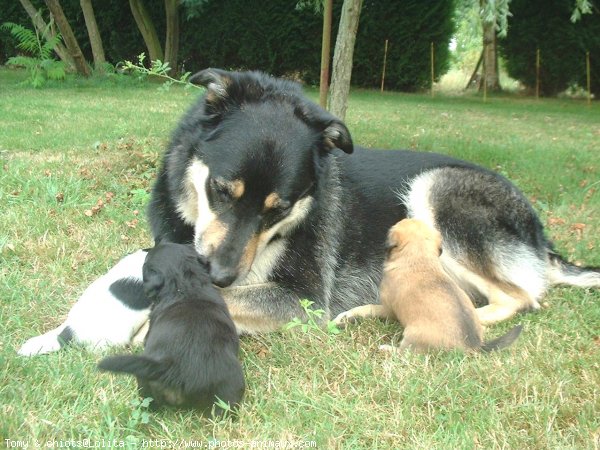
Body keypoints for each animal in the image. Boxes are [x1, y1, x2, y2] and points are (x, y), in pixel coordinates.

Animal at [336, 220, 524, 354]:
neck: (419, 258)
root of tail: (475, 345)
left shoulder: (389, 308)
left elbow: (370, 307)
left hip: (411, 334)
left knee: (406, 353)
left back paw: (387, 349)